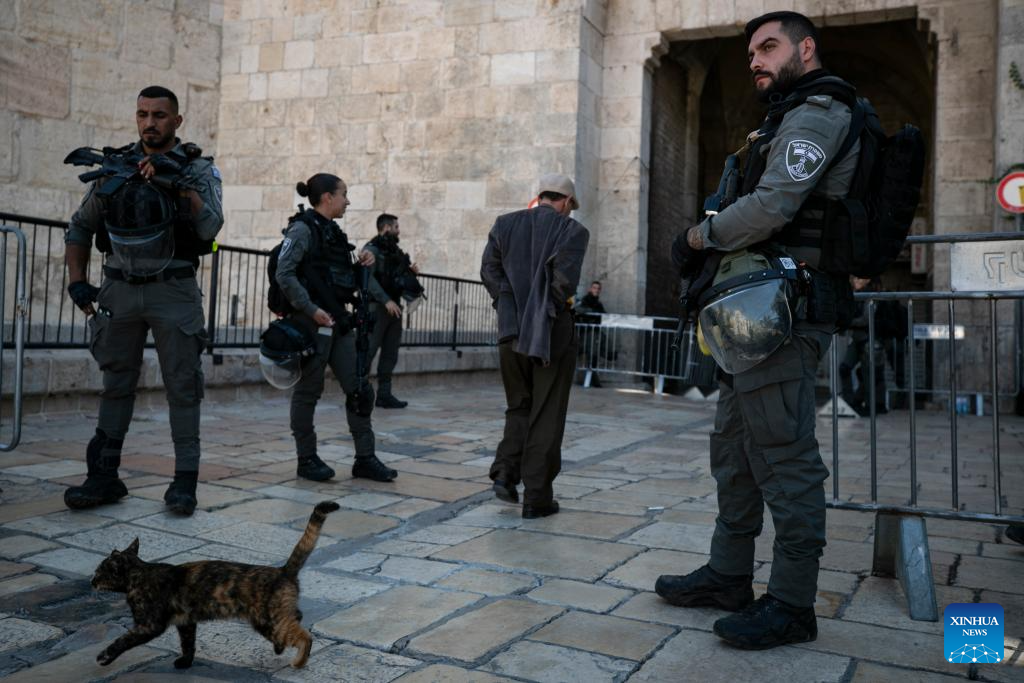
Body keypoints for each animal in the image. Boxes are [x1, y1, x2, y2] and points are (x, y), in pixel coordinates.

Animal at [91, 500, 340, 669]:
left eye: (98, 570)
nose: (91, 581)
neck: (139, 573)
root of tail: (283, 570)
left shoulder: (148, 625)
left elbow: (123, 640)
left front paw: (104, 656)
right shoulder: (186, 622)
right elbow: (188, 644)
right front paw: (185, 662)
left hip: (268, 620)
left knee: (304, 636)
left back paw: (298, 661)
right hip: (272, 619)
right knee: (296, 618)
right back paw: (281, 647)